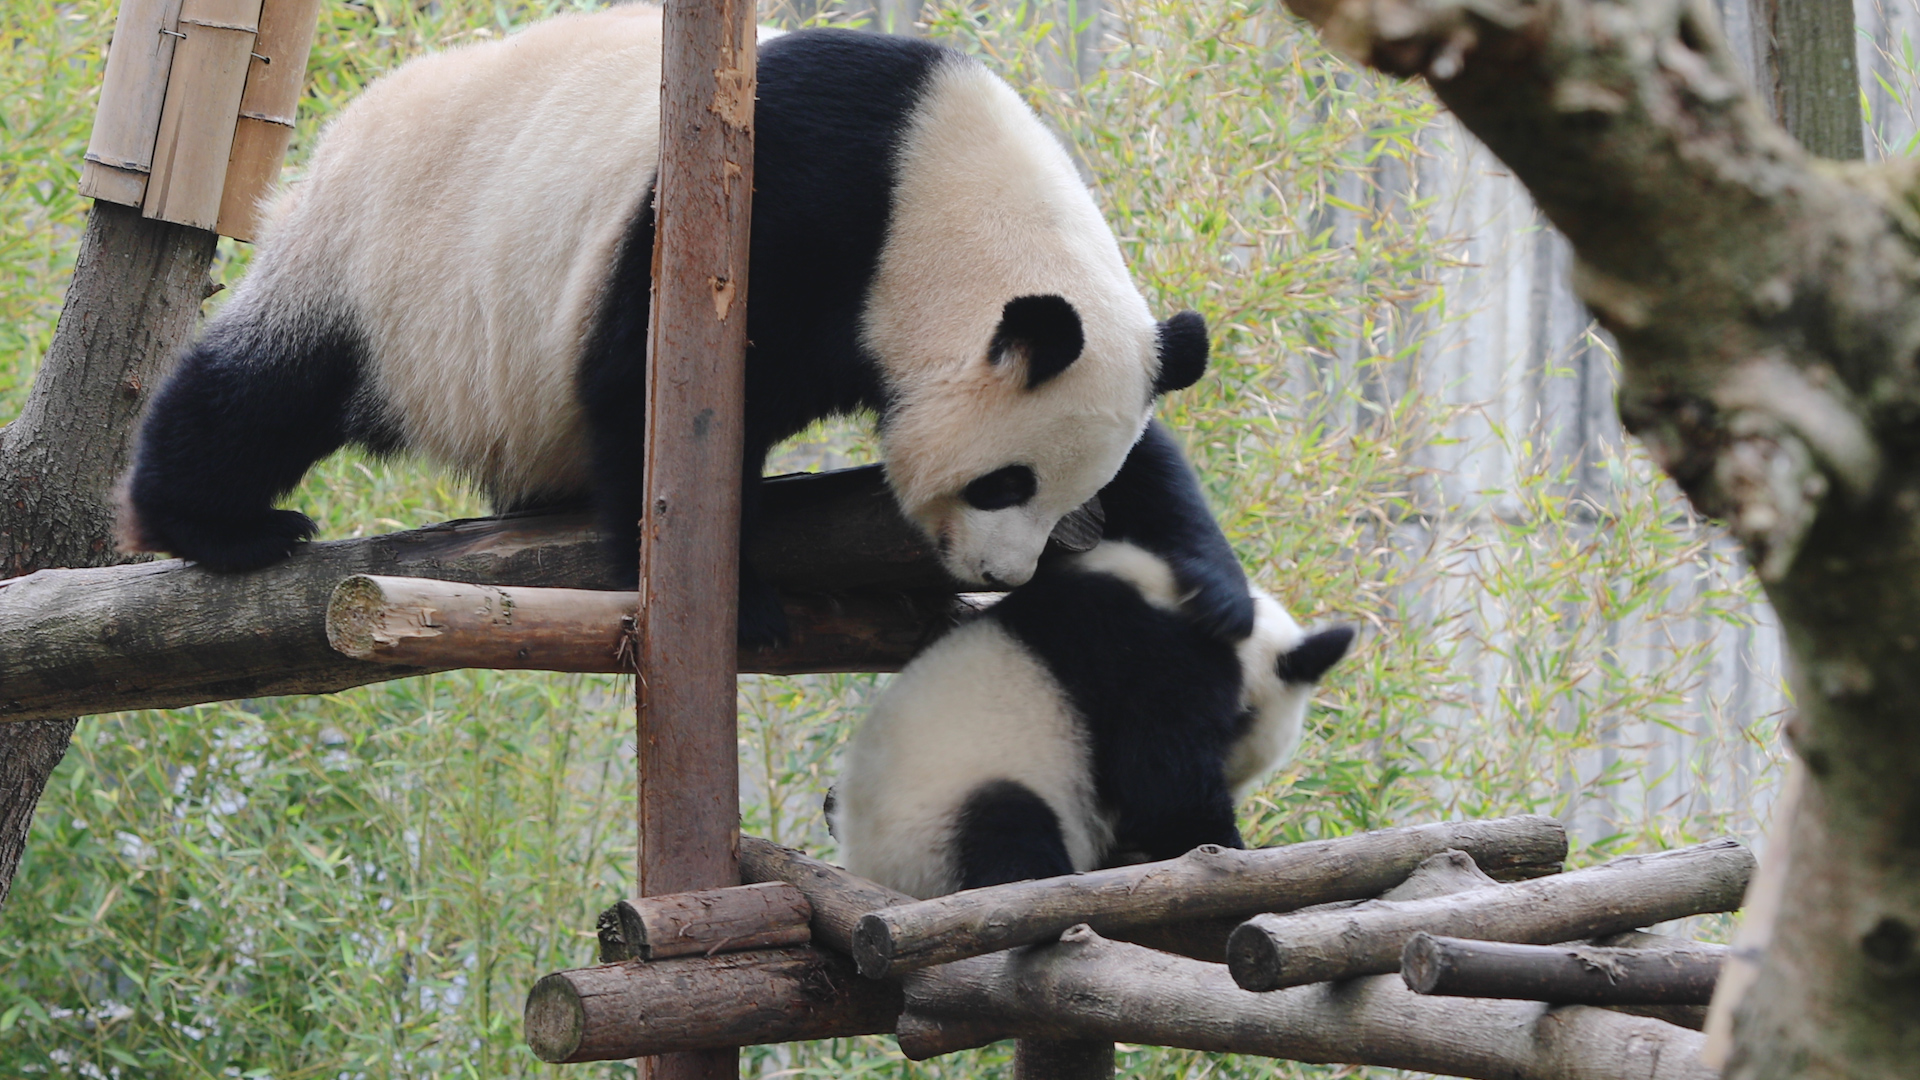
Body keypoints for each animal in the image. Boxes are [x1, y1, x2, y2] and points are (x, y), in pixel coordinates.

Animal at [116, 7, 1251, 645]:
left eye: (1064, 496)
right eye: (1001, 484)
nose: (998, 577)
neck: (933, 188)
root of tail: (350, 119)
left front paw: (1215, 588)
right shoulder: (793, 205)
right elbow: (645, 391)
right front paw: (728, 602)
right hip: (383, 260)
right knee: (267, 387)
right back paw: (217, 525)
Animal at [828, 539, 1355, 899]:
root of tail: (876, 875)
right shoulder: (1157, 661)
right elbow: (1162, 781)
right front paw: (1224, 840)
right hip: (934, 824)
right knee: (1003, 825)